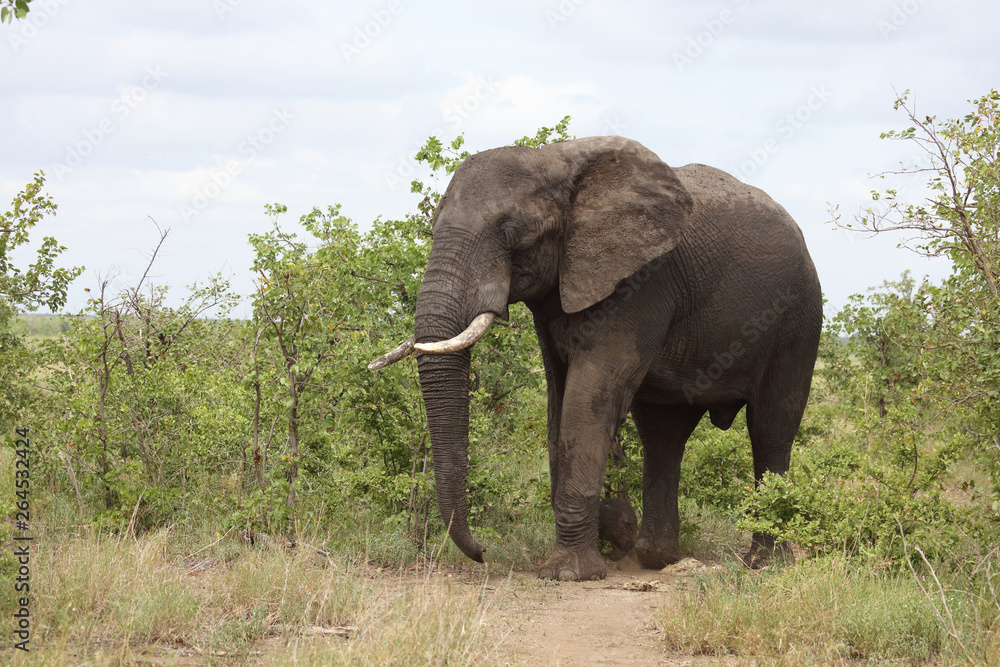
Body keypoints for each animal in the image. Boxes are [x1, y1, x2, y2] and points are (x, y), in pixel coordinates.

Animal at [368, 137, 820, 584]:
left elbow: (588, 402)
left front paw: (569, 572)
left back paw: (764, 562)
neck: (554, 161)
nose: (482, 553)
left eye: (511, 231)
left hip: (797, 318)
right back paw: (656, 557)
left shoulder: (641, 281)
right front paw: (616, 526)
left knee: (771, 428)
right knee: (663, 435)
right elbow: (558, 408)